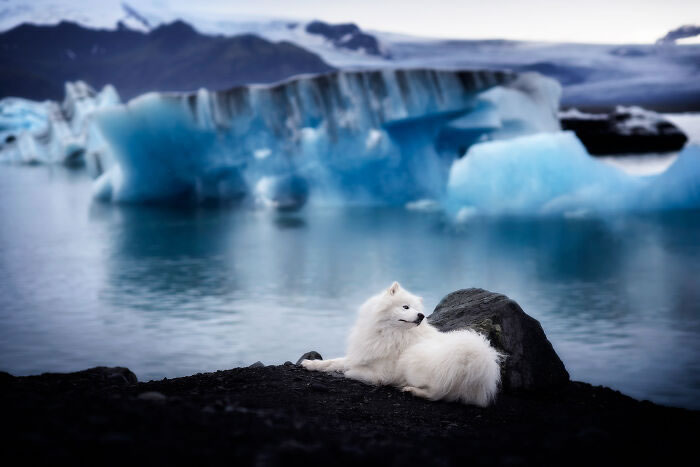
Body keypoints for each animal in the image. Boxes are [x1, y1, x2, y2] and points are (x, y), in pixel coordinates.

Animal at [300, 282, 504, 406]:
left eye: (417, 309)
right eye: (406, 307)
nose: (421, 315)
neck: (389, 333)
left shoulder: (381, 372)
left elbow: (355, 370)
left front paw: (350, 372)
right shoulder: (363, 353)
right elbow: (334, 361)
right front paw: (311, 364)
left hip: (416, 360)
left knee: (437, 394)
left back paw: (413, 390)